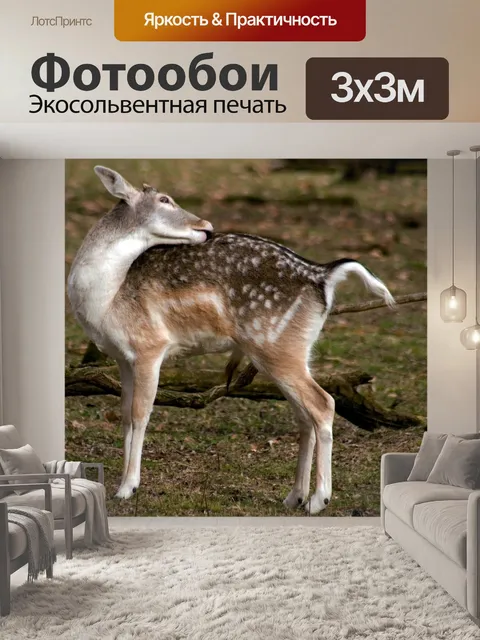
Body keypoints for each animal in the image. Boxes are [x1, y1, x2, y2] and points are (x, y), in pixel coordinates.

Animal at [67, 166, 395, 514]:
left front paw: (128, 487)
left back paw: (319, 499)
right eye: (164, 199)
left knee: (323, 403)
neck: (107, 300)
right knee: (303, 415)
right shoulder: (122, 357)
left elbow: (141, 414)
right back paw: (294, 496)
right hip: (293, 348)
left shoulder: (151, 346)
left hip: (275, 345)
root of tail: (324, 277)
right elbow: (126, 416)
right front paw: (120, 485)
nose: (206, 226)